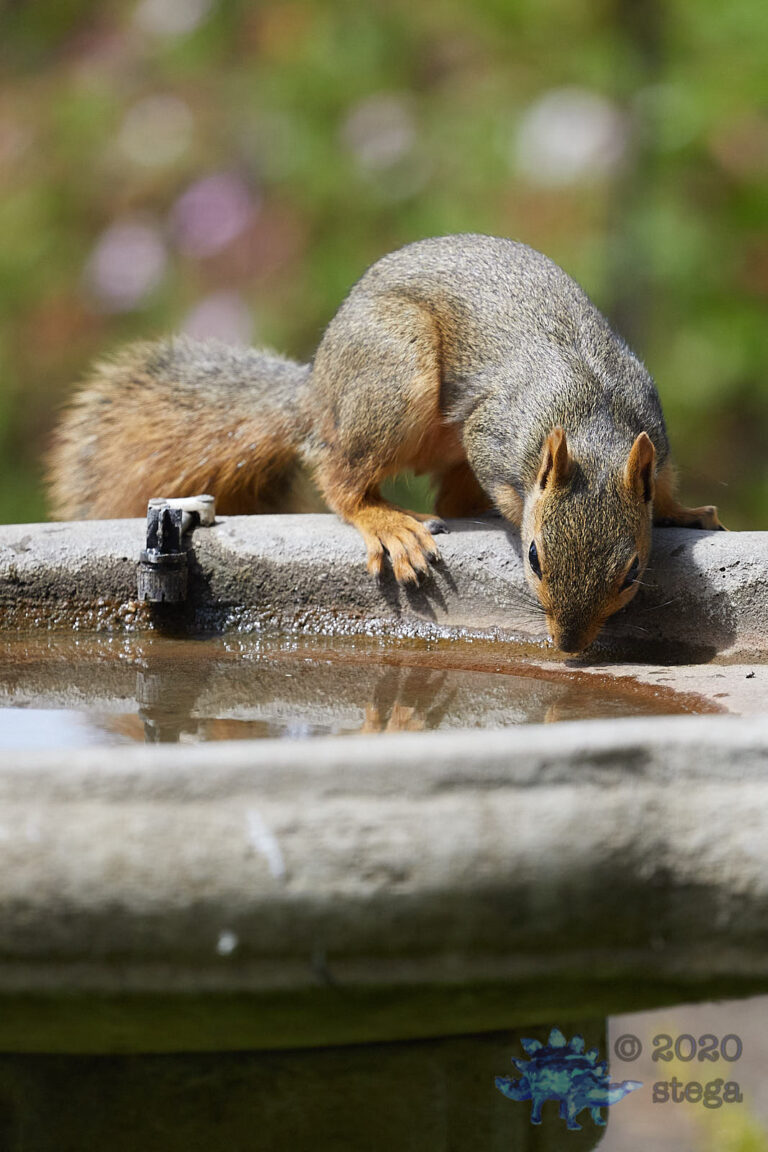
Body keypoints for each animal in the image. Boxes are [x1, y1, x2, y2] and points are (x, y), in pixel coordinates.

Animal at [47, 234, 724, 653]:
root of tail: (318, 391)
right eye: (533, 557)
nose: (567, 647)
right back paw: (389, 523)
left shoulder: (652, 435)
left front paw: (685, 512)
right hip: (393, 380)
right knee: (340, 474)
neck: (589, 416)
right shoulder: (494, 436)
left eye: (632, 573)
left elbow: (661, 488)